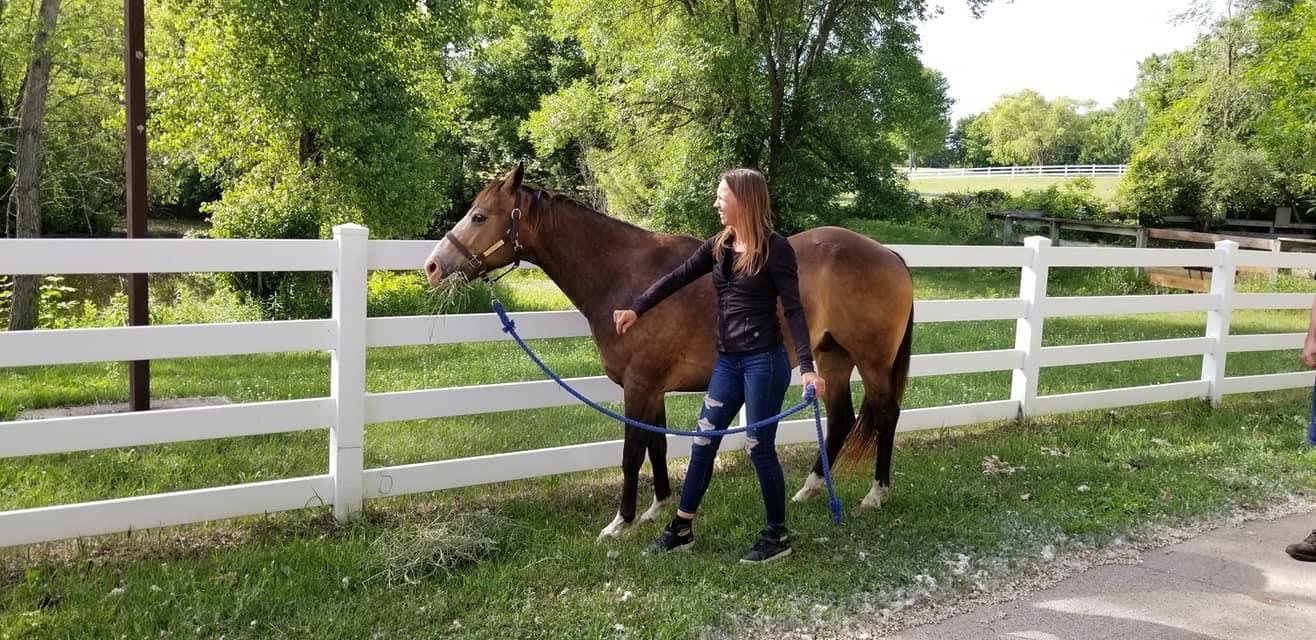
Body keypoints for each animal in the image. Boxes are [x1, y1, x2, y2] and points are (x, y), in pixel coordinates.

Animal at [426, 165, 910, 539]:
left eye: (479, 216)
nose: (432, 266)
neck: (625, 274)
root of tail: (888, 253)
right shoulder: (651, 388)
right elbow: (655, 445)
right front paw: (657, 508)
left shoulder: (639, 386)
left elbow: (631, 453)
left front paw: (619, 523)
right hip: (831, 357)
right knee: (842, 419)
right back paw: (810, 489)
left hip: (872, 362)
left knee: (886, 416)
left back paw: (876, 494)